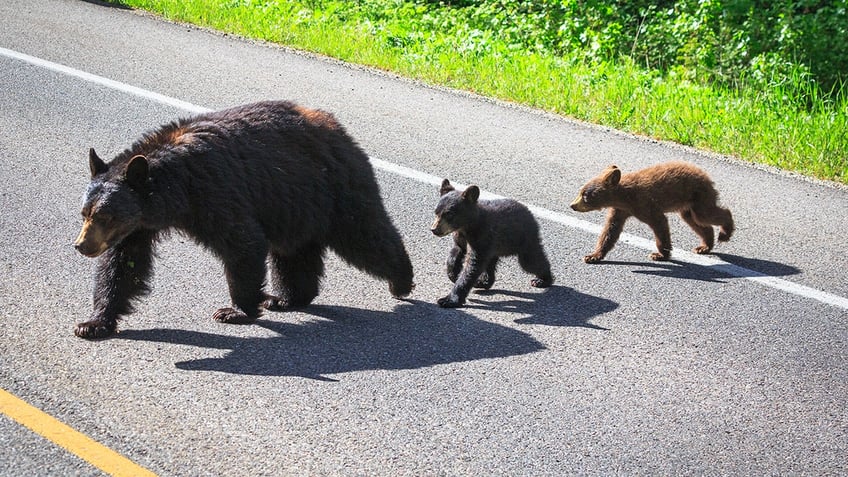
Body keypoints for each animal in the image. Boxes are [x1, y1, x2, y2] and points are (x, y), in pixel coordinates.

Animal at [74, 100, 412, 338]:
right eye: (85, 213)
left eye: (106, 215)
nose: (81, 246)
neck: (178, 186)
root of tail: (338, 127)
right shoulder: (139, 226)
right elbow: (123, 265)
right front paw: (93, 323)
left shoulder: (215, 191)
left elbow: (242, 242)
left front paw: (235, 310)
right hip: (295, 205)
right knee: (293, 253)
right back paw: (286, 298)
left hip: (335, 188)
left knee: (364, 234)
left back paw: (401, 281)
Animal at [430, 179, 556, 308]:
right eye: (436, 212)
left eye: (449, 214)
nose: (434, 229)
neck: (466, 227)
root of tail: (529, 213)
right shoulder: (460, 238)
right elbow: (456, 252)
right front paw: (452, 273)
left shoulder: (481, 237)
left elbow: (473, 265)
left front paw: (449, 299)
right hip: (497, 248)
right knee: (490, 264)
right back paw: (483, 282)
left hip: (524, 239)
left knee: (531, 261)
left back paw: (543, 280)